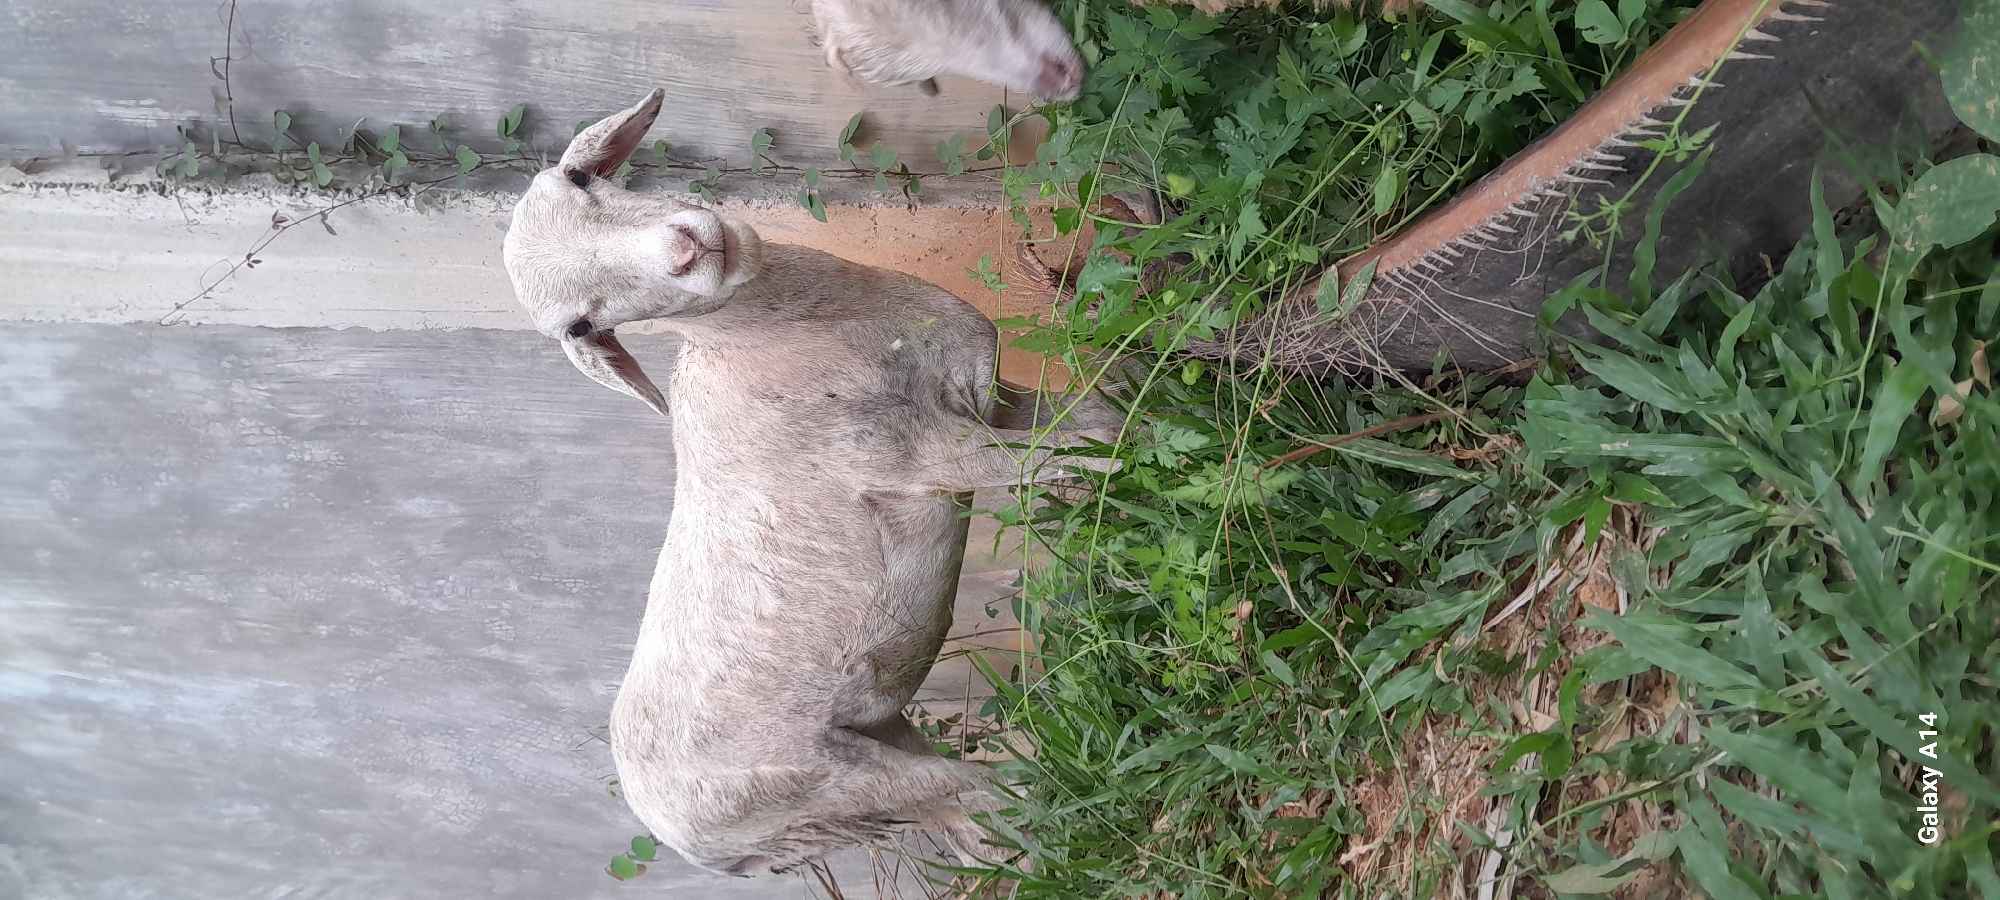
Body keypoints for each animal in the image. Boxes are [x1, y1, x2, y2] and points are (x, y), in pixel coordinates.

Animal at [501, 89, 1120, 877]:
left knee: (982, 828)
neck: (783, 338)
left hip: (875, 734)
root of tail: (697, 848)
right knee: (1002, 800)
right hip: (834, 783)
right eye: (578, 327)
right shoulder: (920, 455)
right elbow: (1102, 452)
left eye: (581, 178)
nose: (685, 250)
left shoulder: (989, 399)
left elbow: (1094, 419)